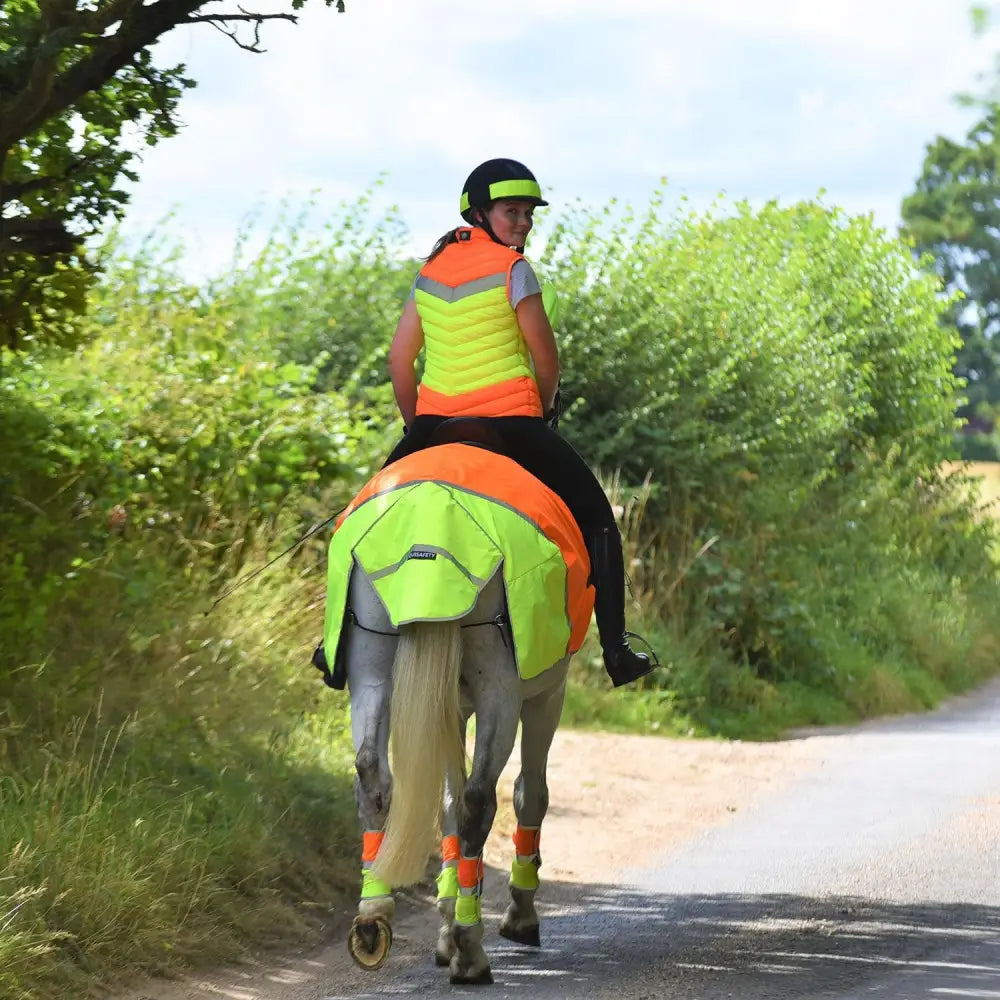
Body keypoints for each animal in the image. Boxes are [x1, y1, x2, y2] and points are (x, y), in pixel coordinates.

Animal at [314, 434, 592, 988]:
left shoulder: (448, 706)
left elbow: (442, 802)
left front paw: (444, 923)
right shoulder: (547, 695)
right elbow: (529, 793)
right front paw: (514, 916)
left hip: (372, 664)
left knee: (373, 775)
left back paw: (373, 920)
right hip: (502, 692)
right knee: (480, 800)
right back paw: (470, 949)